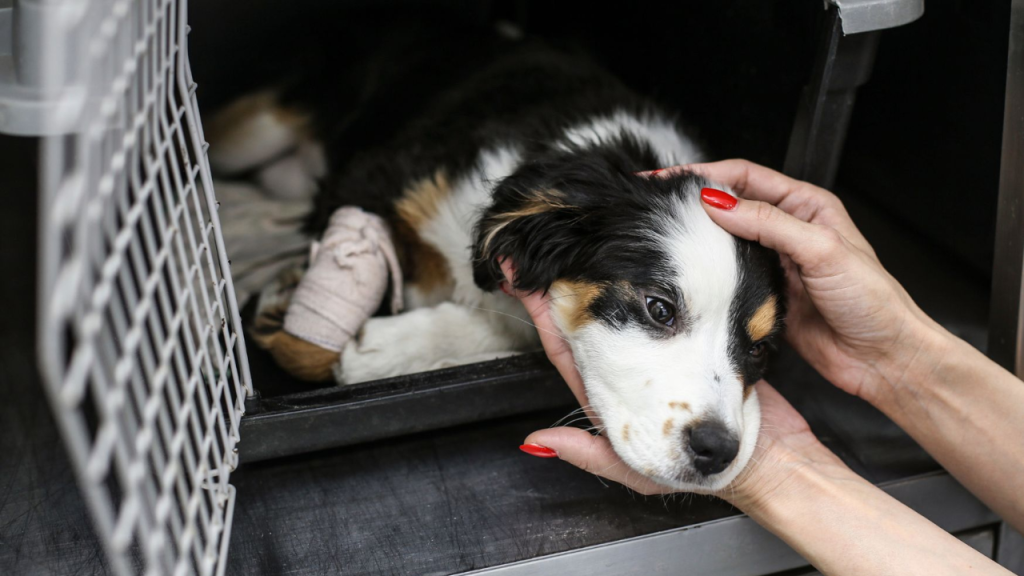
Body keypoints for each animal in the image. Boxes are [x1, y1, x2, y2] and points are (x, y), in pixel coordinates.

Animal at [205, 21, 782, 487]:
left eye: (758, 350)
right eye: (658, 308)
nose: (717, 452)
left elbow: (509, 321)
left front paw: (382, 346)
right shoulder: (365, 182)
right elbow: (316, 336)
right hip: (258, 129)